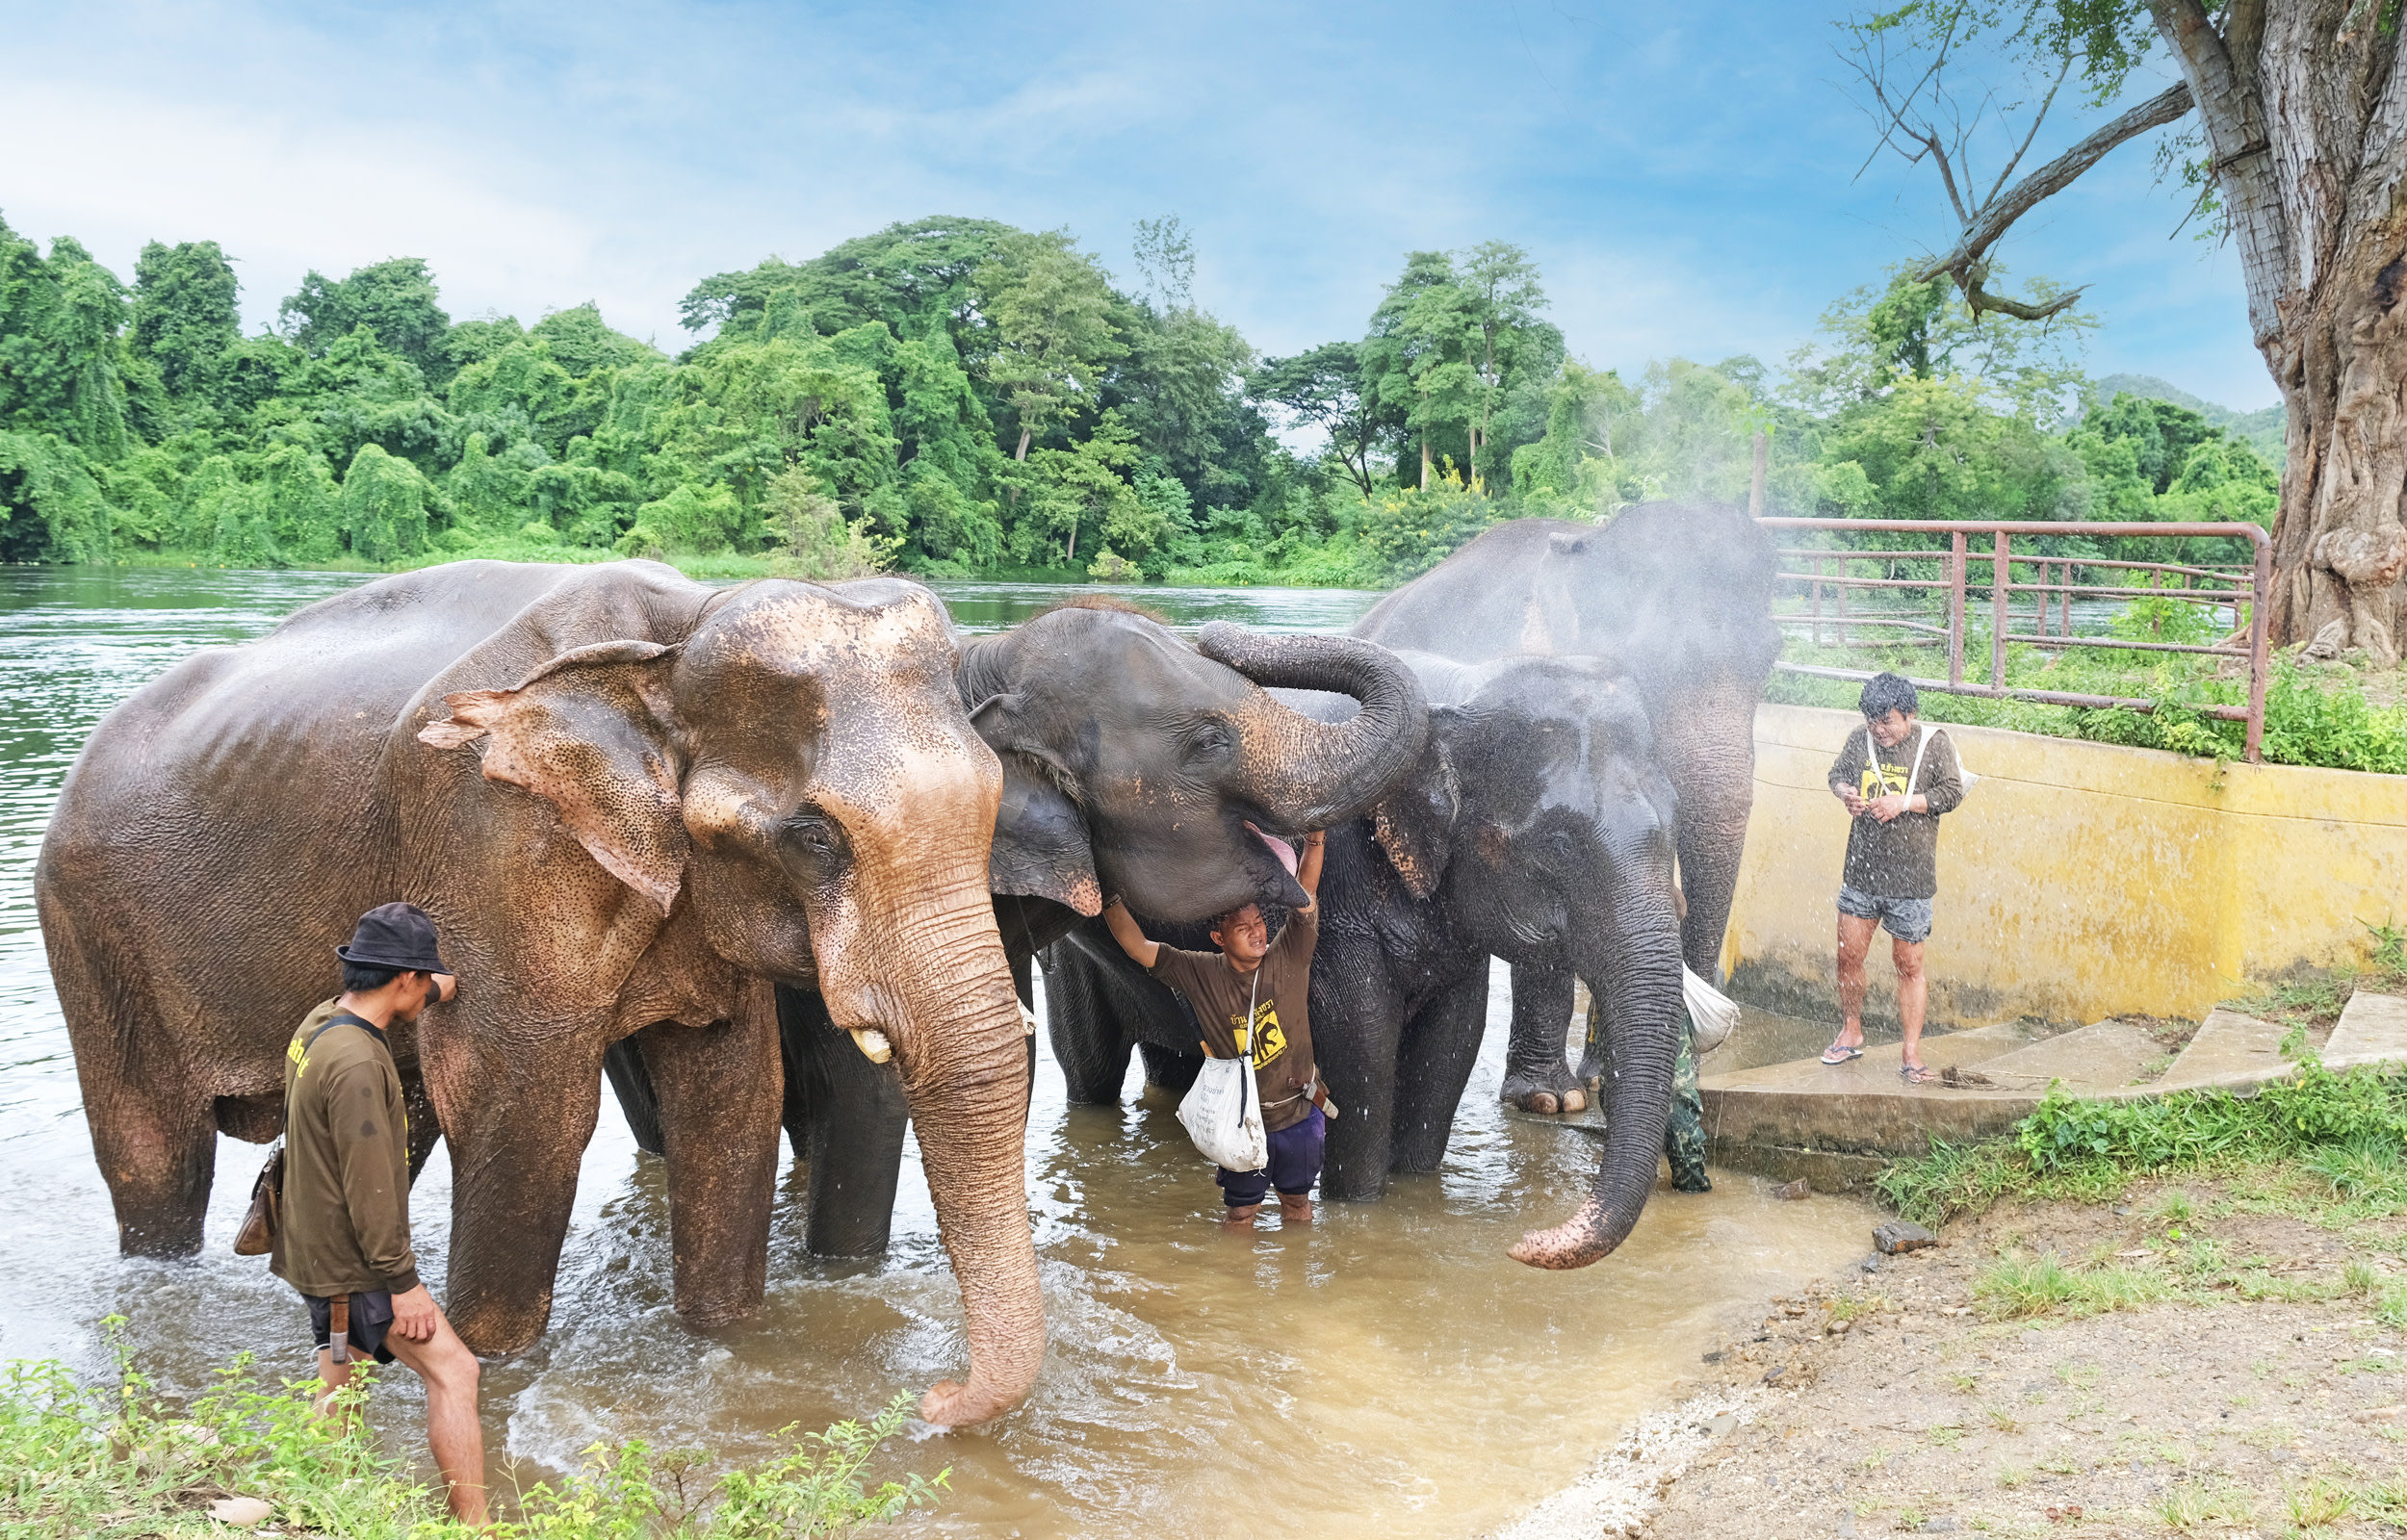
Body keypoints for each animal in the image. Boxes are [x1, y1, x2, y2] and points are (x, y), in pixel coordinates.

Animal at [37, 559, 1042, 1426]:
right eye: (814, 837)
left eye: (997, 801)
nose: (933, 1399)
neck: (678, 631)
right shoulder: (494, 845)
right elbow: (527, 1114)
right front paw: (492, 1366)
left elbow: (733, 1099)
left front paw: (724, 1339)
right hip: (92, 936)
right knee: (154, 1157)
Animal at [1039, 652, 1689, 1269]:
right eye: (1556, 844)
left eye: (1677, 822)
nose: (1522, 1244)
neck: (1453, 697)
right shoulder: (1338, 912)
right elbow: (1362, 1038)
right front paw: (1359, 1204)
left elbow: (1453, 1039)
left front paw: (1418, 1186)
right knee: (1091, 1072)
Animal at [1351, 503, 1780, 1110]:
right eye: (1644, 662)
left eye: (1772, 658)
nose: (1690, 1080)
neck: (1587, 540)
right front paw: (1552, 1099)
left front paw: (1596, 1078)